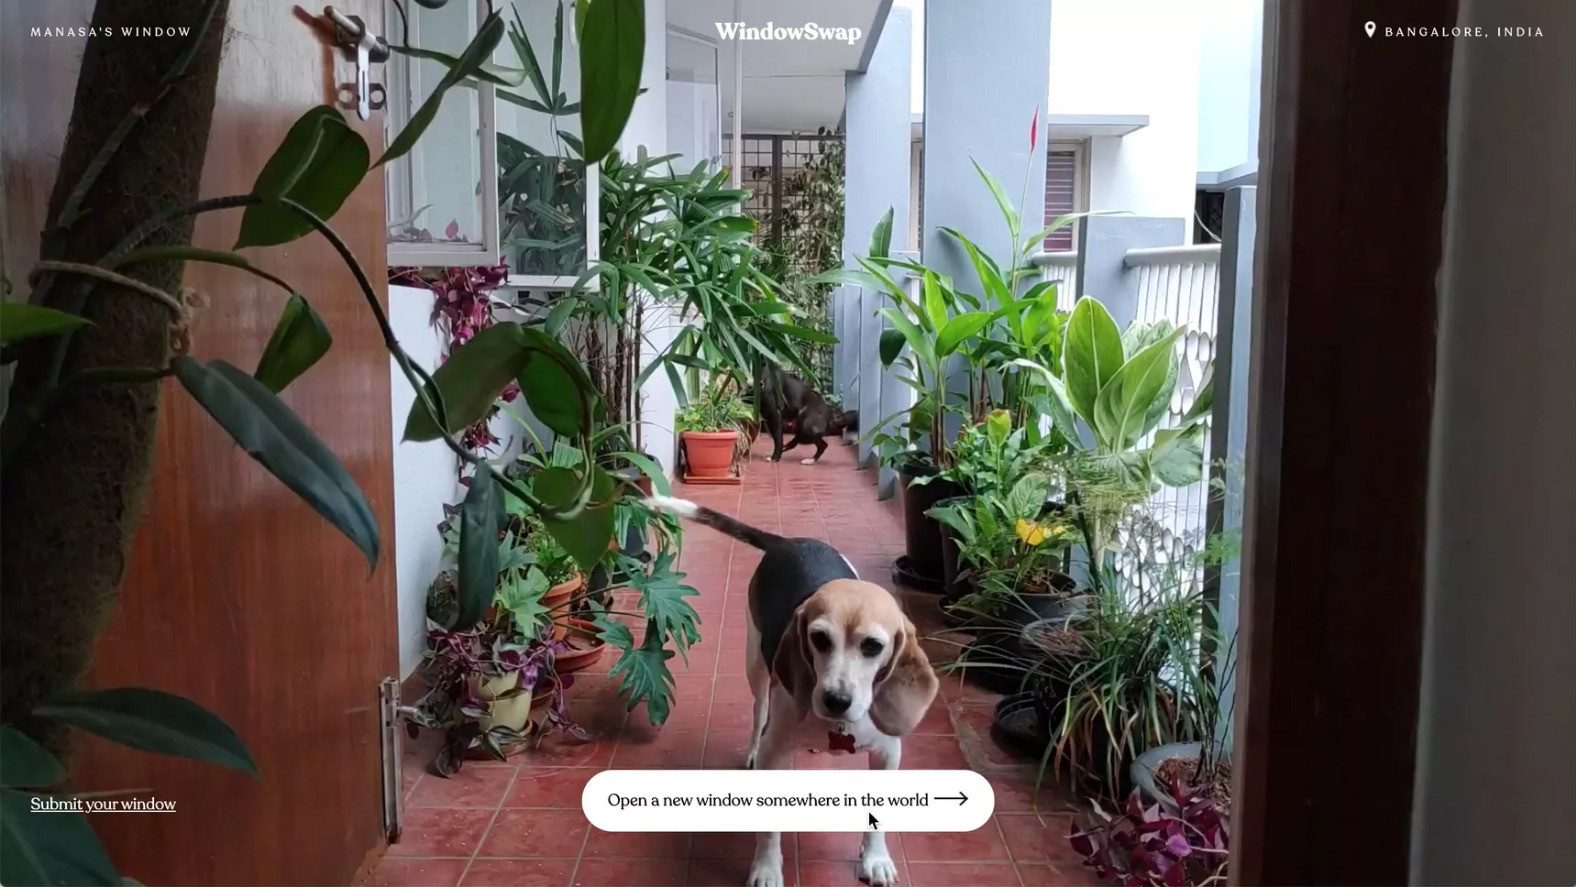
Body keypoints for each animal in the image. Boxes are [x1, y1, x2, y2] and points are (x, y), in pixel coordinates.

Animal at [646, 495, 939, 887]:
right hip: (756, 667)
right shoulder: (775, 755)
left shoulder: (887, 754)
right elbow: (769, 828)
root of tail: (788, 542)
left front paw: (875, 859)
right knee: (759, 714)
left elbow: (877, 817)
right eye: (819, 639)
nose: (836, 700)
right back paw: (753, 748)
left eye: (873, 647)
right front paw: (767, 869)